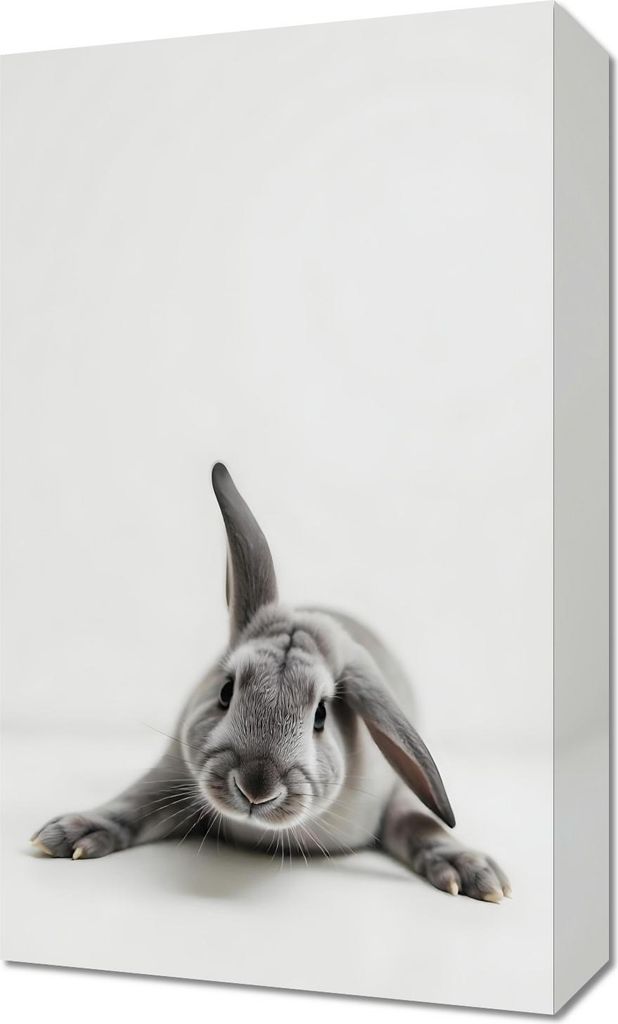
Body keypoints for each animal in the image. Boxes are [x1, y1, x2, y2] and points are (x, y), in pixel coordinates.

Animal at [31, 462, 510, 902]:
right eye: (226, 691)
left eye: (321, 715)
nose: (255, 787)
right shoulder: (172, 776)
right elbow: (137, 802)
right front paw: (69, 834)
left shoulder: (397, 797)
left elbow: (422, 823)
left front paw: (473, 871)